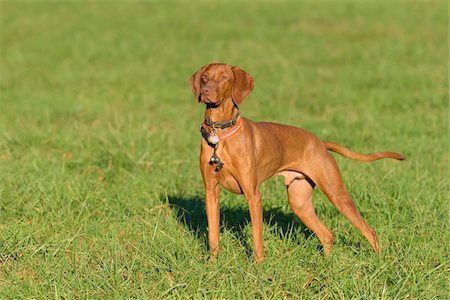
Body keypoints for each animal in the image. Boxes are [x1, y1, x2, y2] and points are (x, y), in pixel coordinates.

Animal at [188, 63, 406, 262]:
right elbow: (213, 236)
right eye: (205, 77)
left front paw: (258, 266)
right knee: (327, 235)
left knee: (369, 231)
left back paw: (379, 261)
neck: (219, 134)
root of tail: (319, 142)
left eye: (224, 77)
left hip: (336, 193)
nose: (206, 91)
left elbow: (257, 238)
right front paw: (212, 265)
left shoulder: (253, 194)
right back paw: (326, 265)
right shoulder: (211, 192)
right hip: (299, 201)